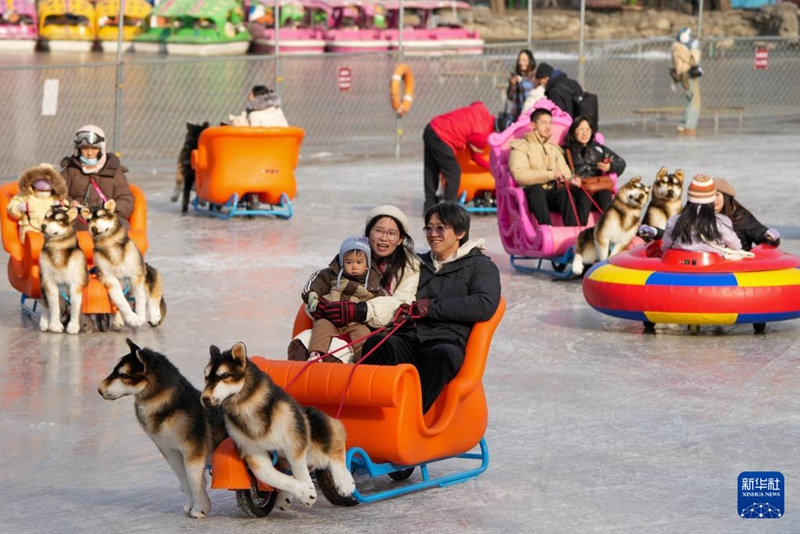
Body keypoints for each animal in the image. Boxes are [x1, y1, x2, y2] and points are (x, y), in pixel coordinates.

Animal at [38, 206, 88, 336]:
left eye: (58, 219)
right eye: (46, 216)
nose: (43, 226)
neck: (58, 247)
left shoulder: (76, 284)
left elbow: (75, 306)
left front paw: (73, 326)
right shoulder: (50, 283)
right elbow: (54, 306)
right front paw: (55, 325)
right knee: (45, 305)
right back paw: (44, 322)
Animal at [82, 199, 165, 328]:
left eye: (102, 215)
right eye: (88, 220)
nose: (93, 228)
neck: (109, 244)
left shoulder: (137, 274)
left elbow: (140, 297)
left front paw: (140, 316)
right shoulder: (109, 277)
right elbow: (121, 301)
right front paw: (132, 318)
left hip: (150, 274)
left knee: (153, 297)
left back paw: (155, 316)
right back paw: (119, 319)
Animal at [99, 342, 228, 520]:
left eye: (123, 374)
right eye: (114, 370)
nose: (99, 389)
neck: (171, 407)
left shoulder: (192, 452)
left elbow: (193, 482)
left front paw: (200, 509)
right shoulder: (170, 451)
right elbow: (184, 481)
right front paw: (191, 505)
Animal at [202, 346, 358, 512]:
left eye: (225, 375)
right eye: (206, 376)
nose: (204, 399)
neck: (248, 409)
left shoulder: (294, 440)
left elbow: (299, 469)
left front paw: (307, 490)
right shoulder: (253, 453)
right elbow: (272, 477)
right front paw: (304, 492)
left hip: (317, 428)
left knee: (335, 446)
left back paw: (345, 482)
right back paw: (284, 497)